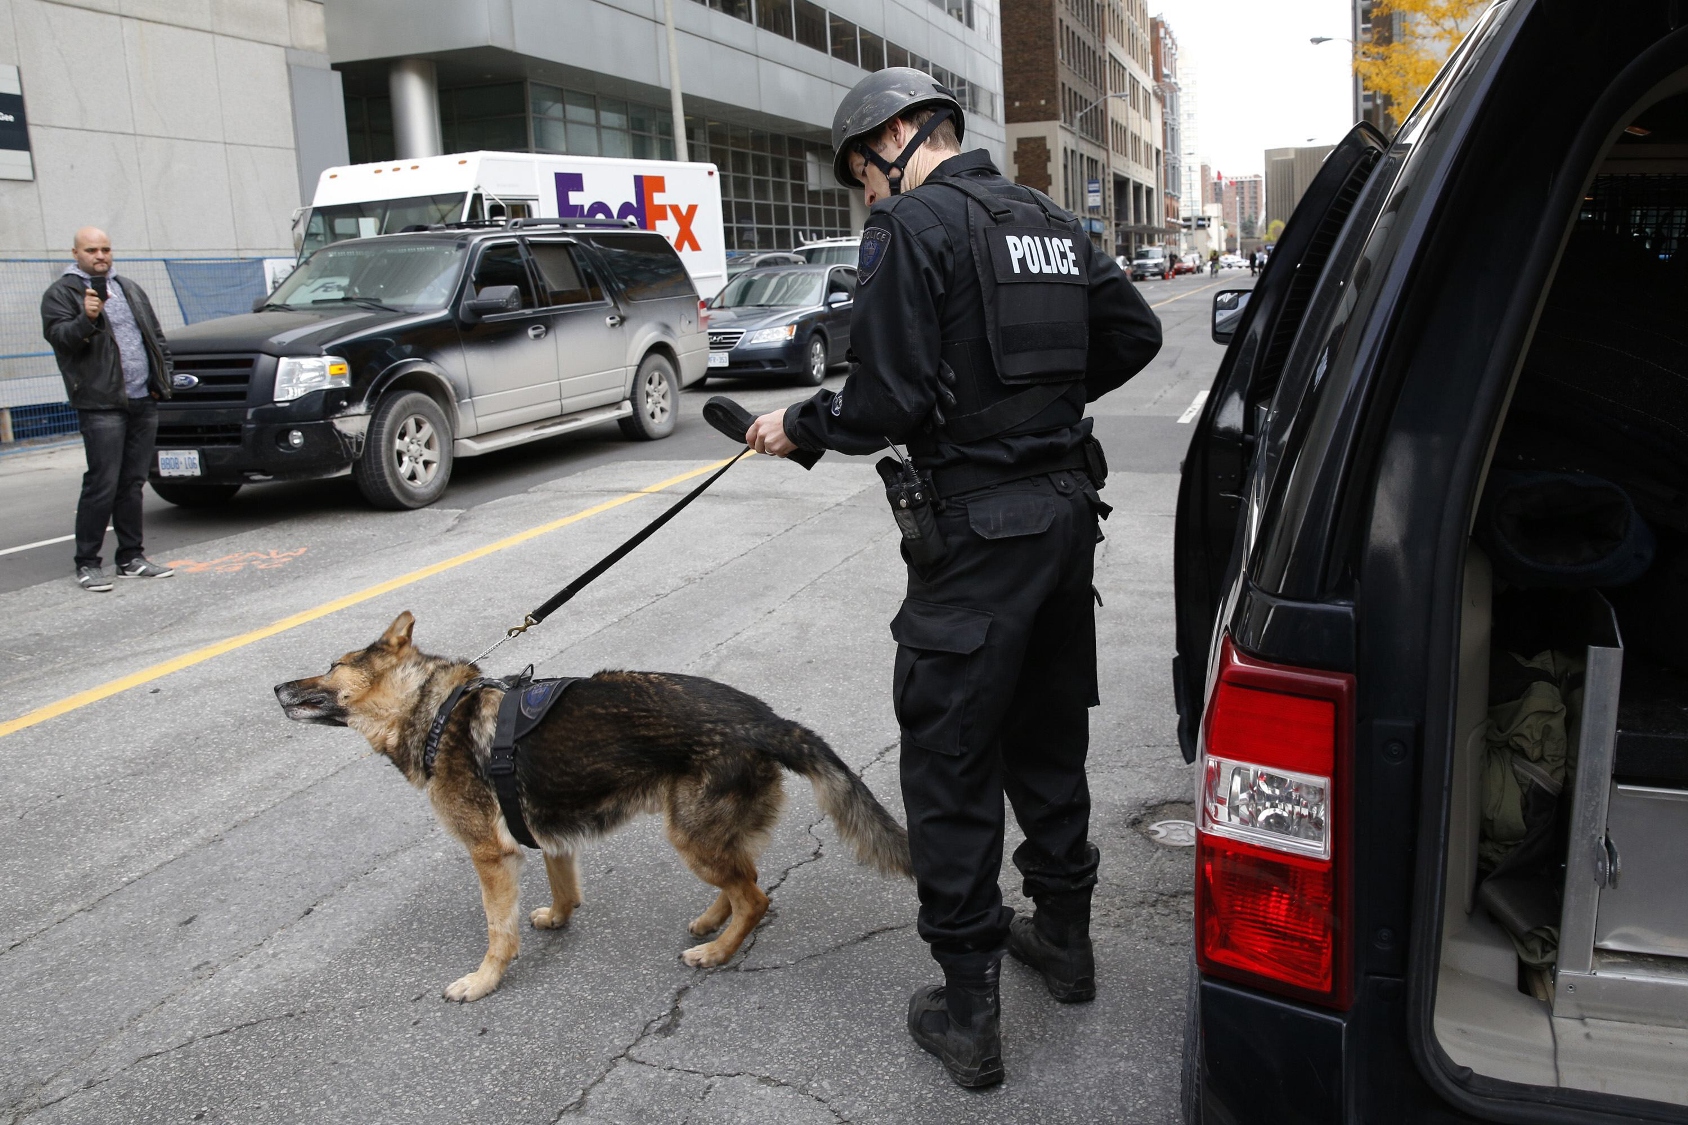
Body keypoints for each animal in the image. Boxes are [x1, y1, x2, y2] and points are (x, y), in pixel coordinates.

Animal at [276, 614, 911, 1000]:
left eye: (331, 666)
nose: (277, 688)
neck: (437, 712)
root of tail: (769, 721)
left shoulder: (490, 858)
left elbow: (498, 931)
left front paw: (482, 982)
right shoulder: (547, 837)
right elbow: (564, 888)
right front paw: (559, 918)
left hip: (691, 836)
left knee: (756, 897)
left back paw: (717, 951)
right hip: (705, 834)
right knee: (745, 880)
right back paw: (714, 921)